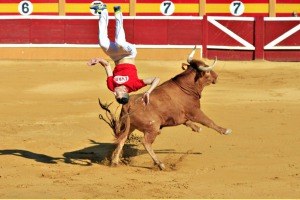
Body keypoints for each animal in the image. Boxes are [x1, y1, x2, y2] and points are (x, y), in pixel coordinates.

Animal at [102, 47, 231, 170]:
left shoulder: (181, 116)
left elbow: (188, 122)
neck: (185, 87)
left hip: (129, 126)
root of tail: (128, 104)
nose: (217, 77)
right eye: (208, 71)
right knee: (145, 142)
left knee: (122, 139)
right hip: (153, 128)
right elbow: (208, 121)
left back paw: (114, 162)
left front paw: (197, 128)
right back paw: (160, 164)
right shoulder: (195, 111)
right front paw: (225, 130)